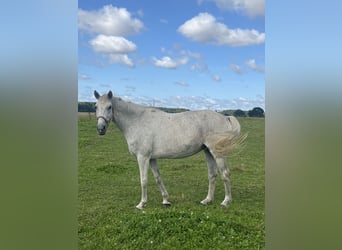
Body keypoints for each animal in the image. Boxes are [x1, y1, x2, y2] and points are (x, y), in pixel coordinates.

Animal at [94, 90, 243, 209]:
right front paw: (165, 200)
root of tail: (225, 117)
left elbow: (143, 180)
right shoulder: (152, 158)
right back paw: (207, 200)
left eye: (109, 107)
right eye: (95, 107)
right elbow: (157, 178)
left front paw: (142, 204)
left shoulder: (143, 157)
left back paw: (226, 201)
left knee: (225, 174)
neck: (137, 121)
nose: (101, 129)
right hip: (208, 152)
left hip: (218, 153)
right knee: (212, 175)